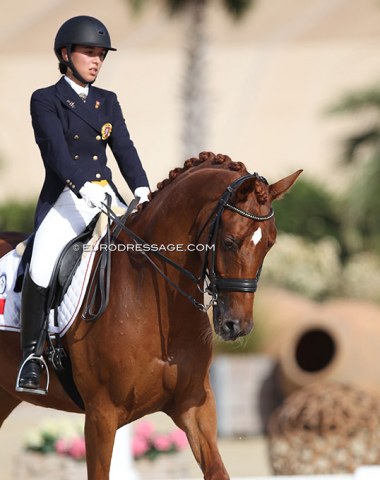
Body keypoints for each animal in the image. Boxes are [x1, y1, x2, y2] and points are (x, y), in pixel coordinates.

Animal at [0, 152, 300, 478]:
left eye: (270, 244)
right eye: (230, 241)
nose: (237, 326)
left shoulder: (194, 405)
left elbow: (217, 470)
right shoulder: (101, 414)